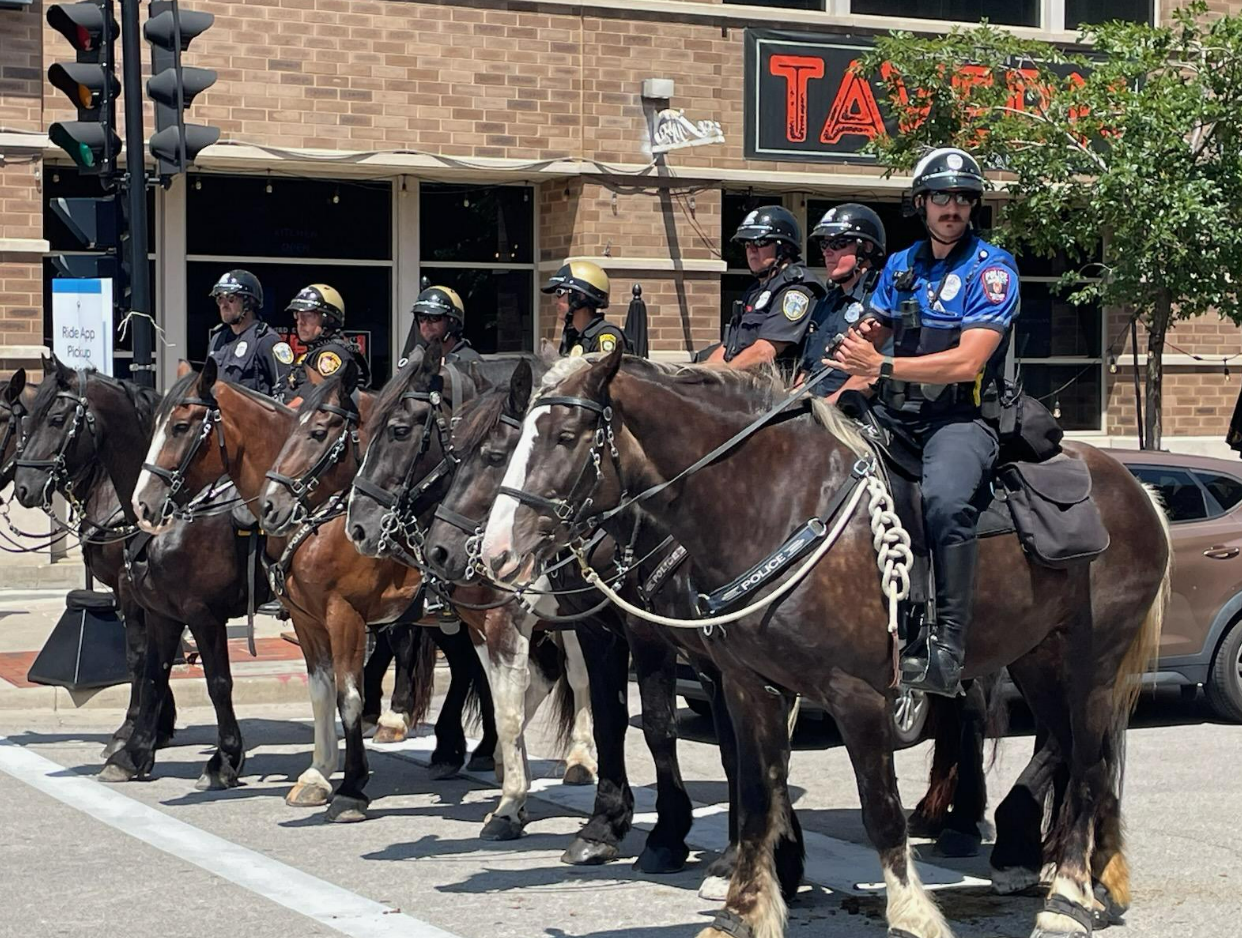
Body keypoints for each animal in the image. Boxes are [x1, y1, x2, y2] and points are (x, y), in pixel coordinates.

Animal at [479, 350, 1167, 938]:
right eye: (514, 442)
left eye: (566, 437)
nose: (496, 553)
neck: (772, 502)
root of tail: (1137, 488)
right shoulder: (749, 685)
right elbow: (757, 796)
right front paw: (743, 909)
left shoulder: (855, 694)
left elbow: (879, 807)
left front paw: (912, 913)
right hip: (1039, 658)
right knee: (1072, 751)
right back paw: (1084, 875)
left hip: (1093, 663)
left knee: (1089, 765)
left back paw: (1066, 897)